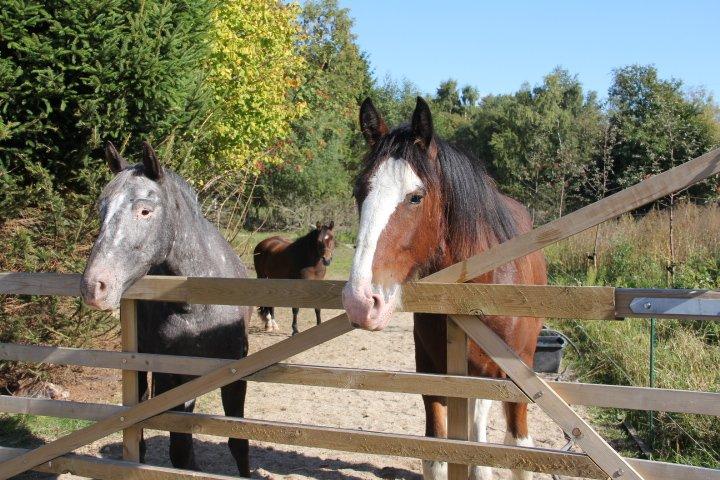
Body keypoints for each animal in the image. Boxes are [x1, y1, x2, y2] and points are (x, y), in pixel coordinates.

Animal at [79, 141, 250, 474]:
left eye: (145, 210)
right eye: (101, 209)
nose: (94, 286)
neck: (198, 308)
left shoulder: (235, 375)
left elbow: (239, 444)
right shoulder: (170, 376)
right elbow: (179, 448)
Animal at [344, 98, 544, 480]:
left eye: (415, 197)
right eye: (359, 191)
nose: (360, 301)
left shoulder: (517, 381)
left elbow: (518, 454)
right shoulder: (434, 375)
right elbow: (437, 455)